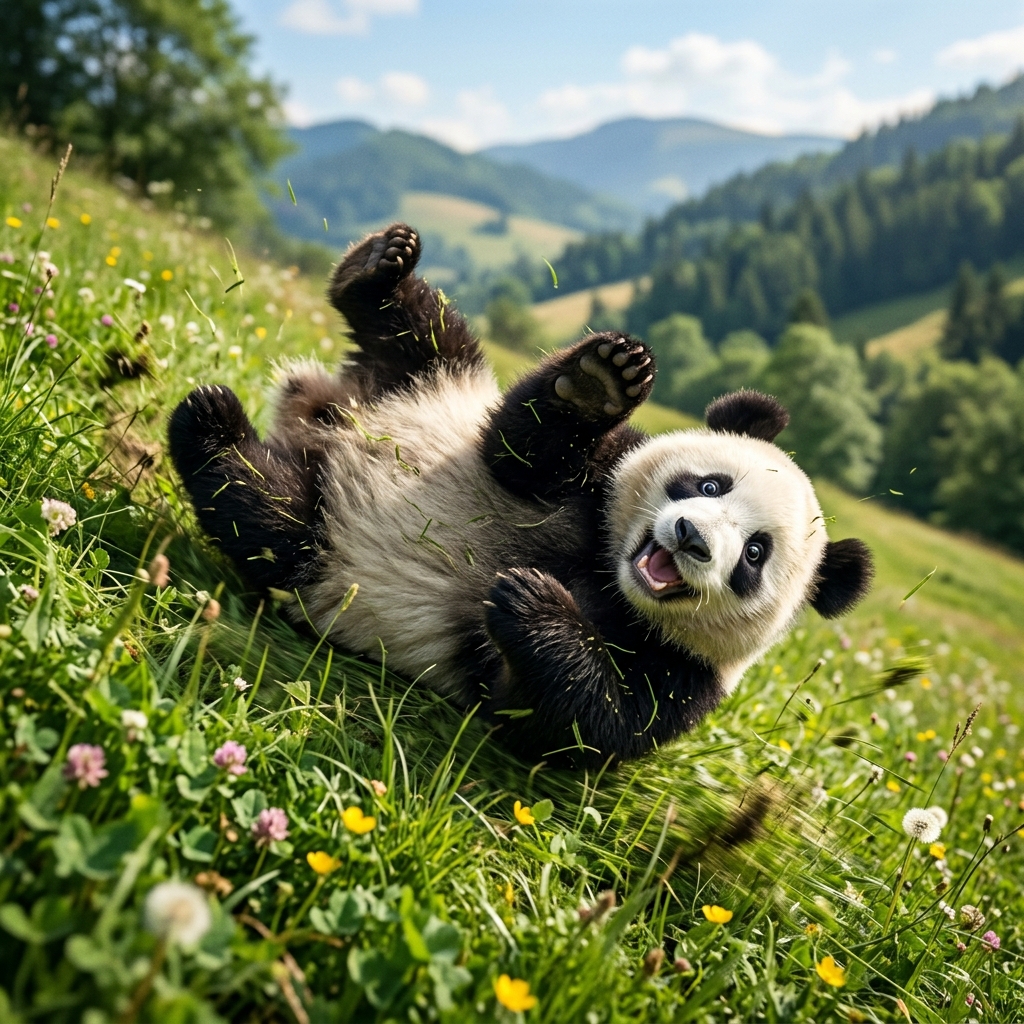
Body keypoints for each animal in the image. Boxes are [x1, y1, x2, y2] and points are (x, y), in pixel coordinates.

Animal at [168, 222, 873, 767]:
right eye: (708, 484)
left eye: (755, 554)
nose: (692, 538)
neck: (606, 572)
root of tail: (320, 409)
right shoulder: (602, 470)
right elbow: (516, 453)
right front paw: (599, 381)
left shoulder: (682, 675)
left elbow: (570, 722)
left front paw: (528, 601)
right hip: (439, 383)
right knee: (428, 336)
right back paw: (376, 268)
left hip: (320, 547)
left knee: (271, 517)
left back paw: (214, 428)